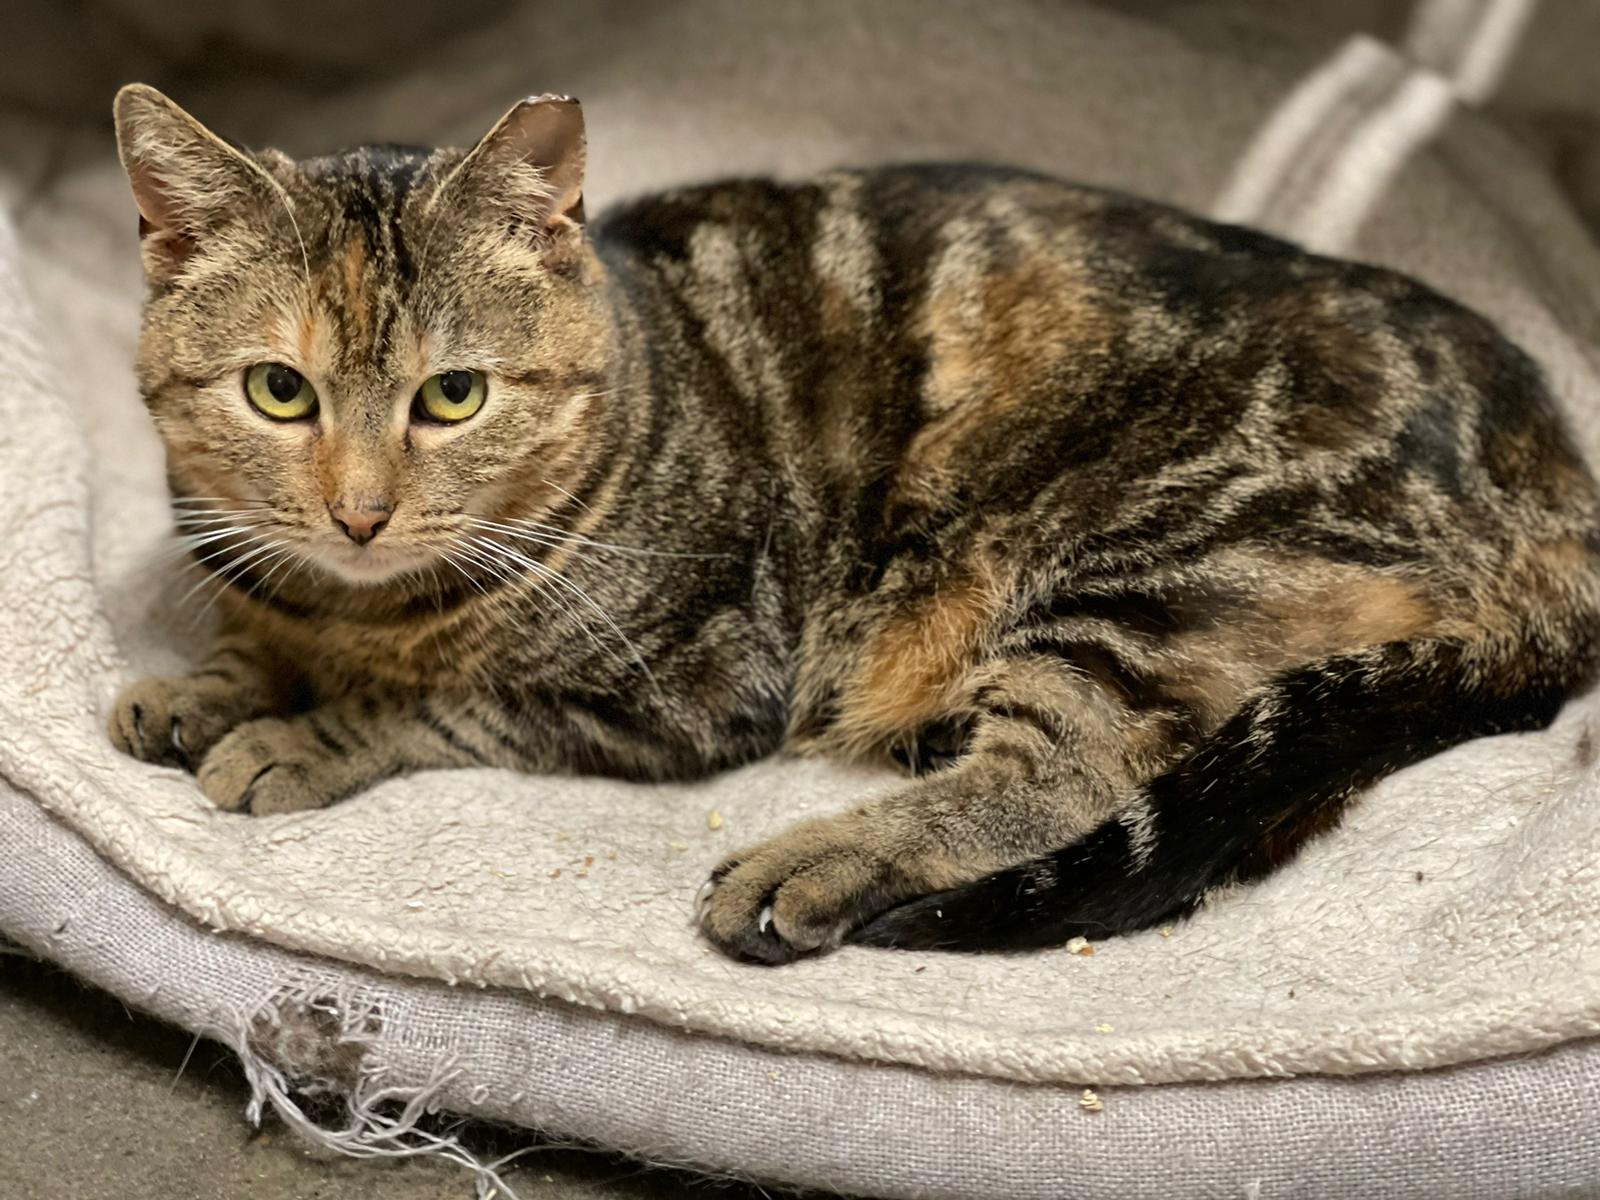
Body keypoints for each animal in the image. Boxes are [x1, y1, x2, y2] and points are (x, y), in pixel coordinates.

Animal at [108, 83, 1600, 964]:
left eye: (453, 396)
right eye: (280, 391)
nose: (359, 512)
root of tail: (1558, 476)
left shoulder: (687, 689)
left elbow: (435, 702)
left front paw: (293, 734)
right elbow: (257, 641)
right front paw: (202, 686)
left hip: (1137, 565)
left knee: (1063, 778)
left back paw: (811, 866)